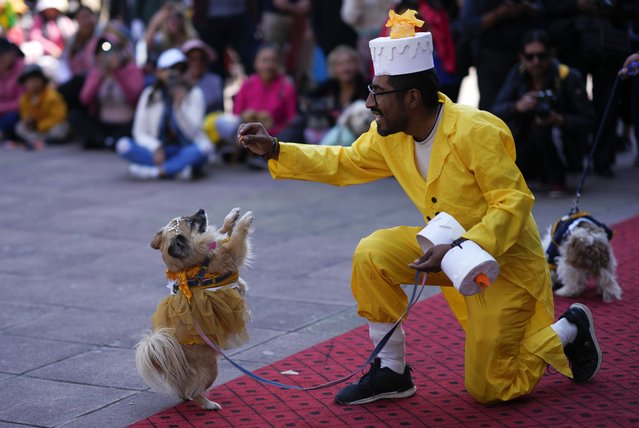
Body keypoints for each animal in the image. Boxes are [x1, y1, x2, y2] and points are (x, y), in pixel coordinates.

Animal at [136, 207, 254, 412]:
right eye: (190, 222)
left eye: (187, 217)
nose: (201, 210)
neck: (196, 264)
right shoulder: (231, 253)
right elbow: (238, 237)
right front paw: (244, 221)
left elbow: (224, 231)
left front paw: (232, 217)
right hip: (210, 369)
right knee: (195, 391)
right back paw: (208, 404)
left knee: (183, 392)